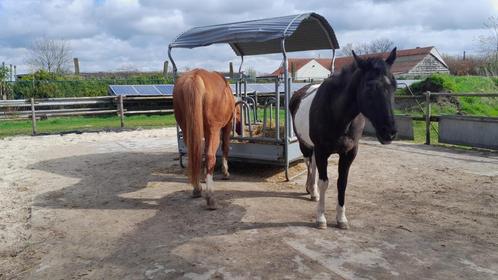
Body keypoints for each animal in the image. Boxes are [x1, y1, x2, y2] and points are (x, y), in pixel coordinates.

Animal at [174, 69, 238, 209]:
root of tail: (195, 77)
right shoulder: (227, 126)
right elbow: (225, 148)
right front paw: (225, 172)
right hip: (213, 130)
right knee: (210, 157)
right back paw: (210, 198)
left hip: (187, 130)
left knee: (194, 155)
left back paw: (197, 189)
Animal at [290, 47, 398, 229]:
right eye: (369, 87)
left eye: (394, 86)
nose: (389, 132)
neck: (338, 114)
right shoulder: (322, 150)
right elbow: (324, 182)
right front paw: (321, 218)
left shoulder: (349, 152)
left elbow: (342, 183)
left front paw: (341, 218)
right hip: (304, 144)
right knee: (309, 163)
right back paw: (311, 188)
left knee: (313, 164)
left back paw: (314, 193)